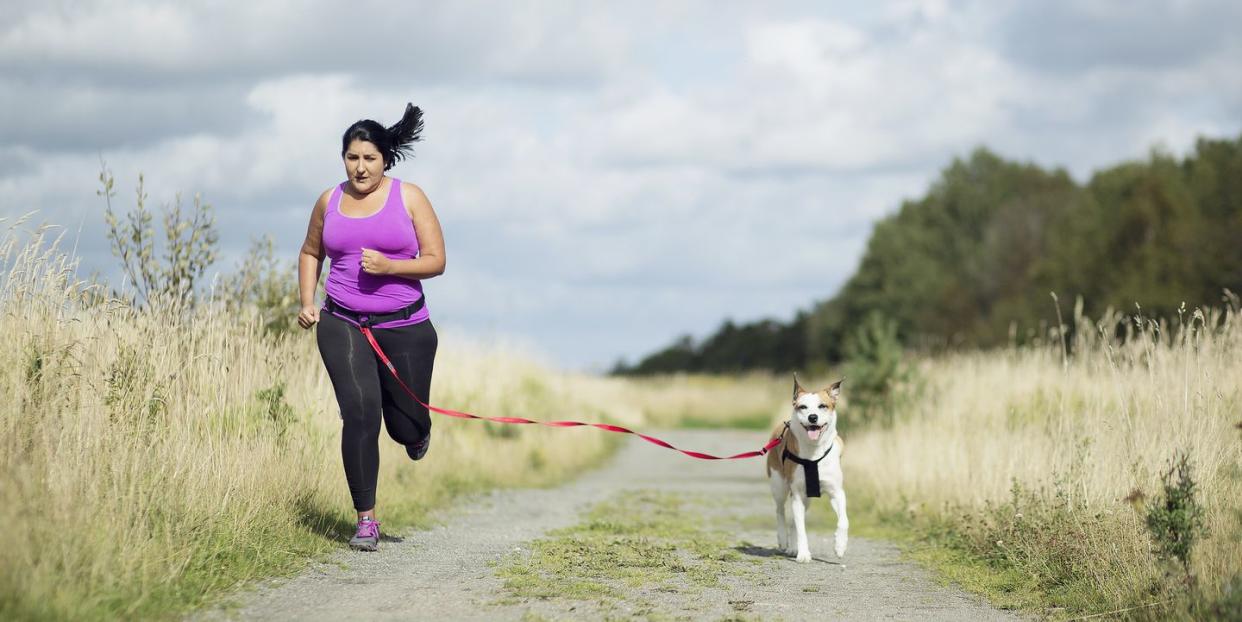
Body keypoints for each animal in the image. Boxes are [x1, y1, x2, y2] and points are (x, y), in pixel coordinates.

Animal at [760, 372, 849, 563]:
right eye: (802, 407)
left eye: (823, 406)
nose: (812, 417)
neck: (813, 452)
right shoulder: (797, 494)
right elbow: (801, 528)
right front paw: (803, 554)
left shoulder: (836, 492)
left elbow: (843, 520)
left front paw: (840, 546)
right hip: (779, 485)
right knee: (780, 511)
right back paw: (784, 541)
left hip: (806, 498)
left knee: (793, 520)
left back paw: (793, 547)